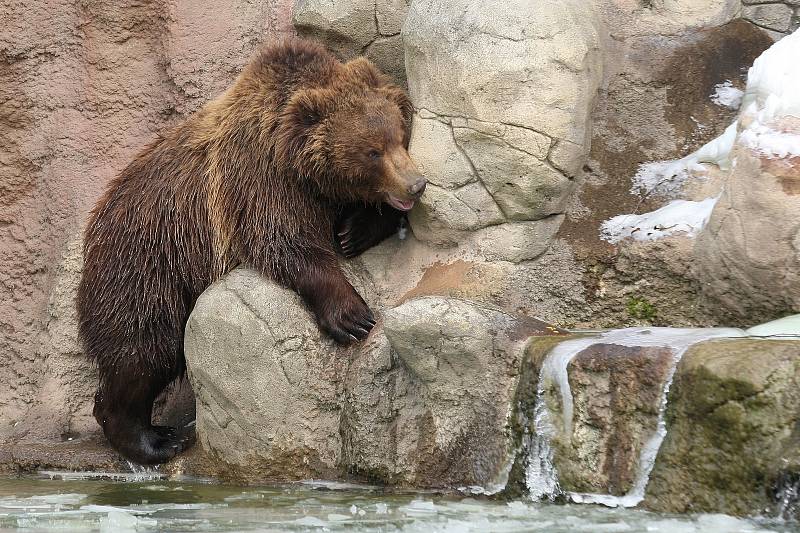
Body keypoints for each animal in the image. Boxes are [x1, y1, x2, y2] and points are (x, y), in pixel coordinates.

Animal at [75, 37, 424, 464]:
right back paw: (155, 439)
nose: (416, 184)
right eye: (372, 151)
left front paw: (353, 231)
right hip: (147, 262)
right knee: (145, 347)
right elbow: (286, 244)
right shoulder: (258, 177)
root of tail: (97, 218)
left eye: (399, 135)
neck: (300, 164)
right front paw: (352, 315)